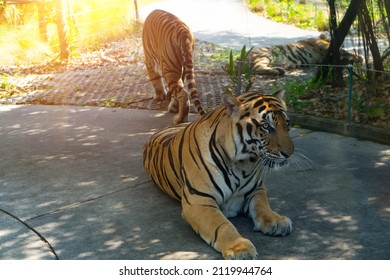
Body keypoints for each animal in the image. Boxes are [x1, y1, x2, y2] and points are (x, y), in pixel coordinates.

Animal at [145, 91, 294, 260]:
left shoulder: (256, 190)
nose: (289, 154)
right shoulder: (199, 201)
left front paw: (277, 221)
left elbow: (263, 206)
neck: (243, 164)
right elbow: (222, 226)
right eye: (266, 126)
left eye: (287, 124)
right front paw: (240, 249)